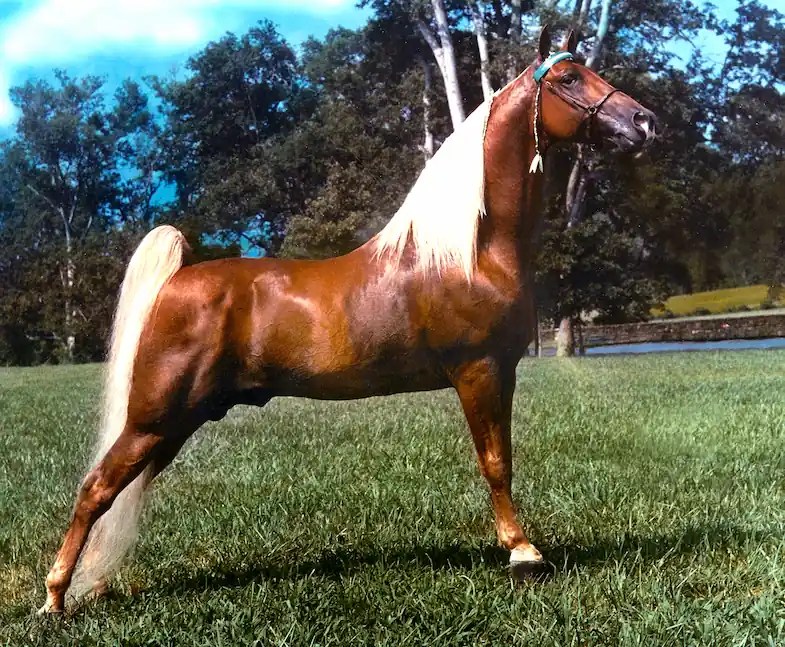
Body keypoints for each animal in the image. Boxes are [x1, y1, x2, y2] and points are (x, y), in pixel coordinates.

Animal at [39, 26, 656, 613]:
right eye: (570, 79)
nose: (643, 122)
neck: (470, 249)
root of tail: (180, 276)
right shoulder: (481, 371)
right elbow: (496, 462)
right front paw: (523, 553)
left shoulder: (498, 372)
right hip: (155, 417)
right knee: (96, 488)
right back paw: (54, 598)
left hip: (176, 422)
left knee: (122, 492)